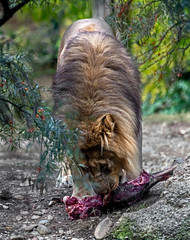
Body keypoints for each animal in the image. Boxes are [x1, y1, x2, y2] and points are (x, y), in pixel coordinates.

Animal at [52, 18, 142, 198]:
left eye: (104, 165)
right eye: (85, 168)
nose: (102, 192)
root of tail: (85, 19)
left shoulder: (134, 122)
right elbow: (75, 169)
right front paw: (81, 195)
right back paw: (64, 177)